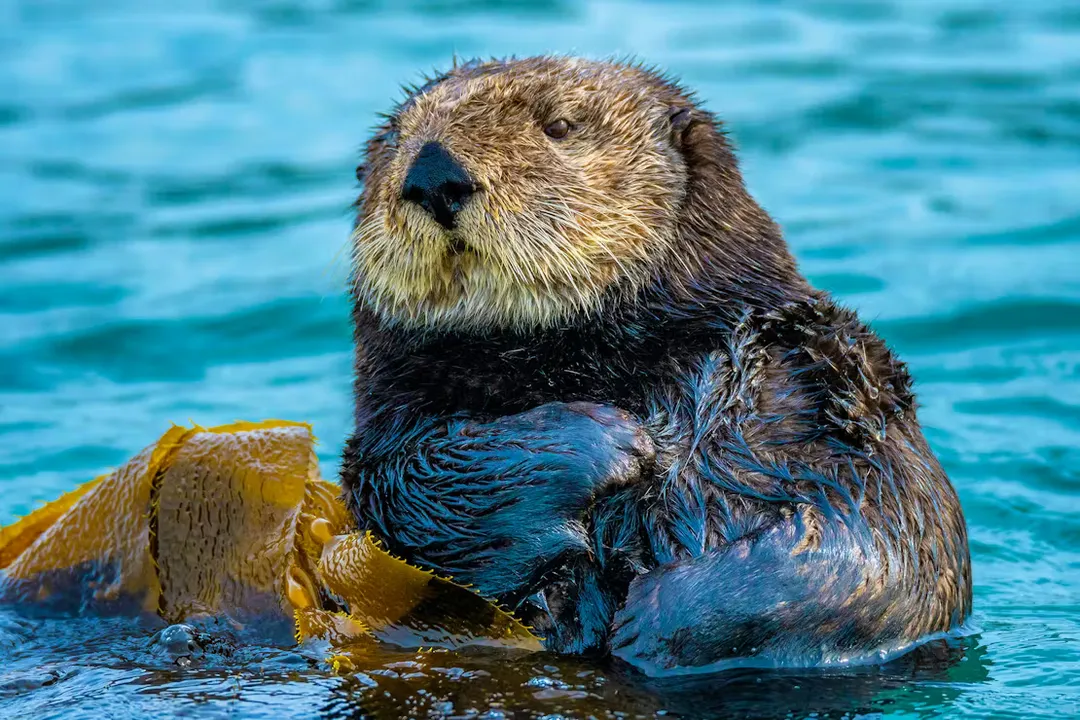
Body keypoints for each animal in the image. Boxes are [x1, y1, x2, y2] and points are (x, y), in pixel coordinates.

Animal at [341, 56, 972, 675]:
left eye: (559, 126)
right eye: (397, 139)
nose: (432, 174)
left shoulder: (831, 381)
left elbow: (887, 537)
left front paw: (658, 616)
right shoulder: (393, 438)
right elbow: (417, 492)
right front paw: (618, 442)